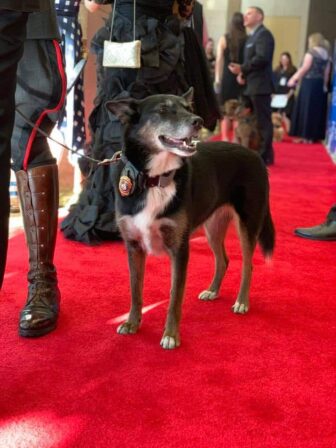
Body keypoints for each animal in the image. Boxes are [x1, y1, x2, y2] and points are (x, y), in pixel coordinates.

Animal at [106, 89, 274, 350]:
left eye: (188, 108)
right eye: (163, 110)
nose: (198, 121)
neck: (155, 179)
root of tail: (255, 155)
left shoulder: (180, 248)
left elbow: (175, 297)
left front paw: (171, 335)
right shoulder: (133, 246)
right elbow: (136, 291)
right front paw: (132, 323)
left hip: (248, 223)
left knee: (248, 264)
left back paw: (241, 301)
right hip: (213, 227)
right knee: (223, 260)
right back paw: (213, 291)